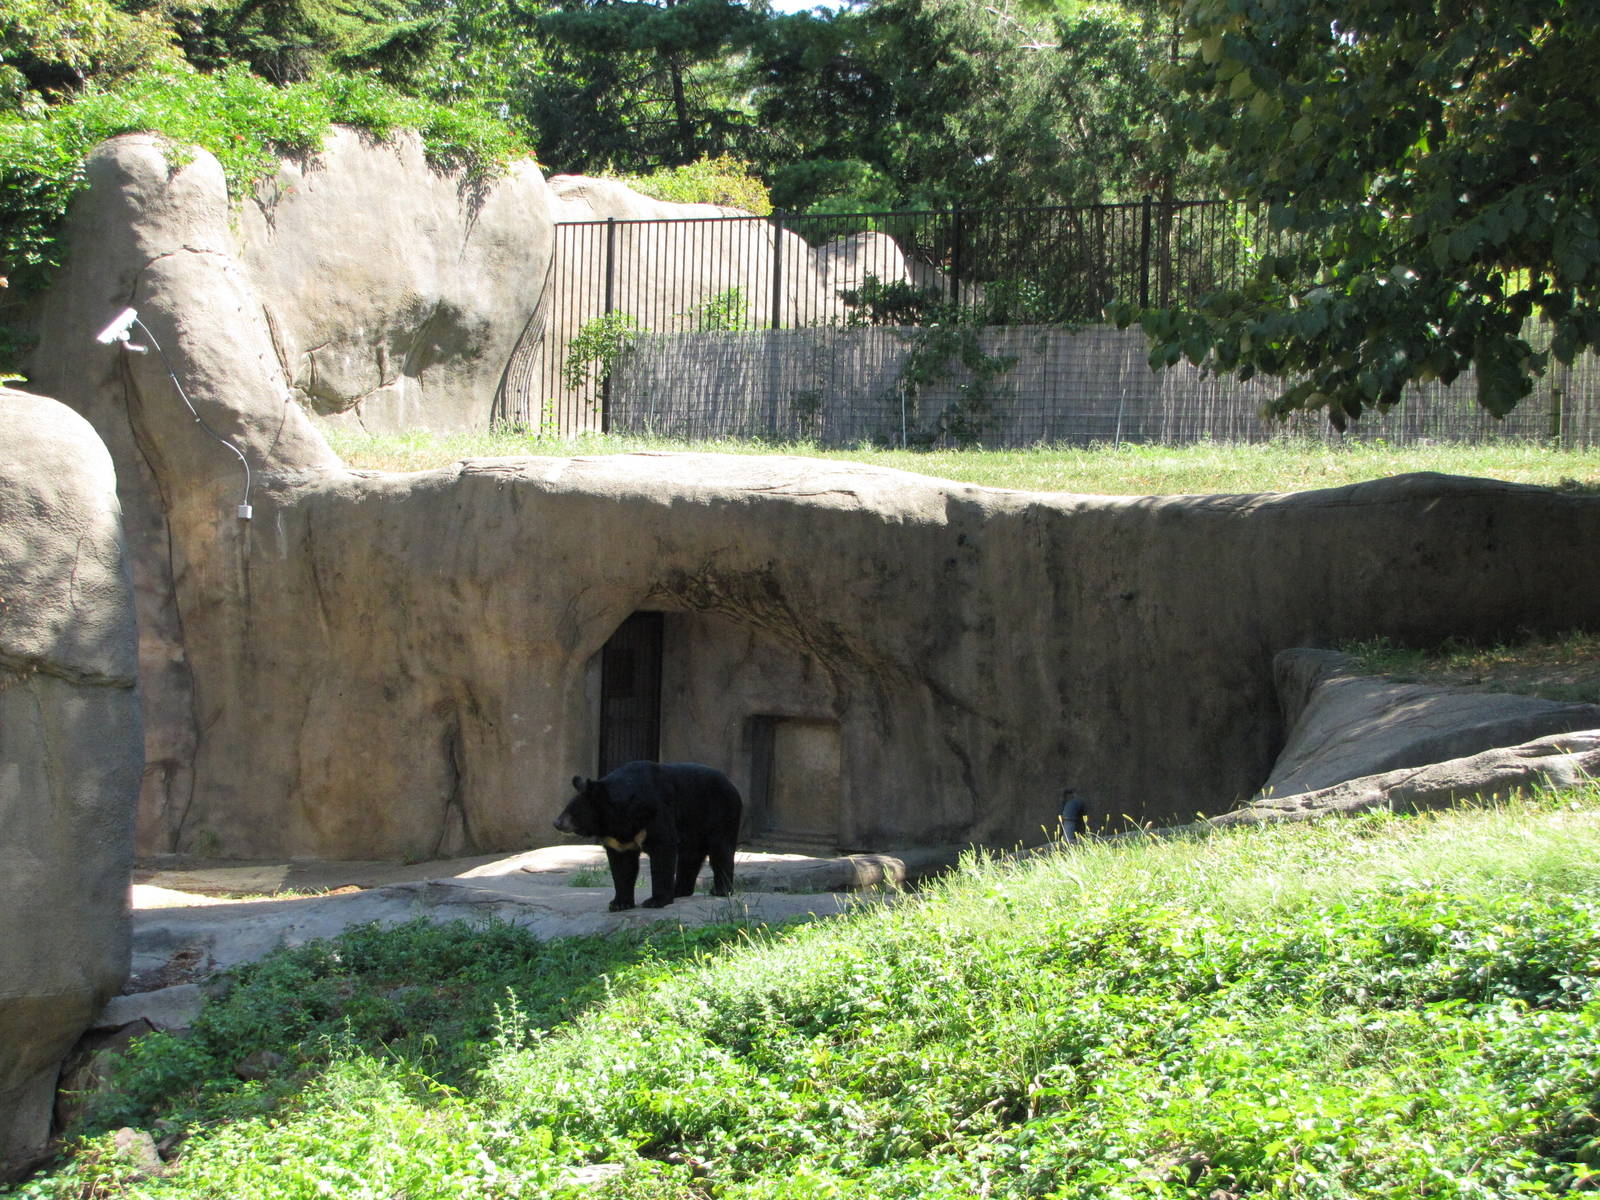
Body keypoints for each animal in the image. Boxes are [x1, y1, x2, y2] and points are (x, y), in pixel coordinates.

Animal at [554, 761, 743, 911]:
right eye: (567, 807)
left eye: (572, 811)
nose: (556, 823)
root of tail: (732, 784)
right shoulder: (618, 837)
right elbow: (622, 865)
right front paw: (619, 903)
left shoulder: (655, 812)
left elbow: (662, 849)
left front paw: (655, 901)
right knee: (689, 857)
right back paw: (679, 890)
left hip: (720, 812)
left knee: (720, 849)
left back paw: (720, 890)